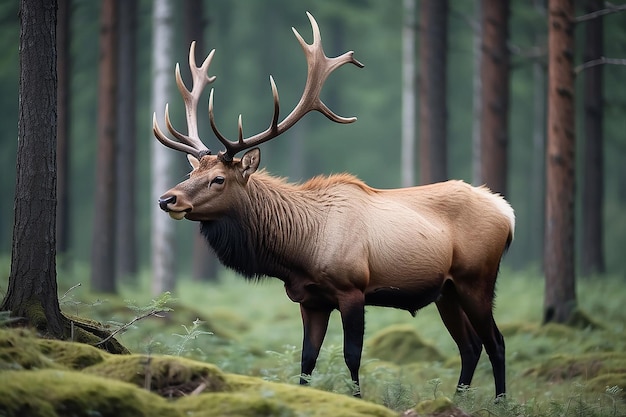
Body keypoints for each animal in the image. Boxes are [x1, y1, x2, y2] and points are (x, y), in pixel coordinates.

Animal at [152, 11, 512, 398]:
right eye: (192, 172)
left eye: (218, 179)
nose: (166, 198)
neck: (299, 251)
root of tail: (507, 212)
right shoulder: (311, 299)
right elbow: (307, 360)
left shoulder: (353, 289)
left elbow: (352, 356)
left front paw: (359, 399)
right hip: (447, 290)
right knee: (470, 345)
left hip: (476, 279)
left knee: (496, 341)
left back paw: (499, 402)